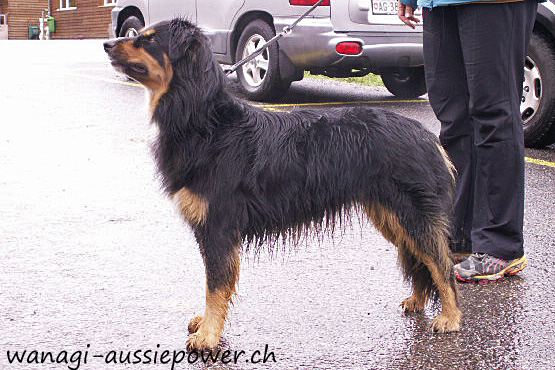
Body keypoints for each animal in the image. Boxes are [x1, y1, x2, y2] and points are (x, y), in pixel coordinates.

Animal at [106, 18, 462, 350]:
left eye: (148, 40)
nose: (107, 43)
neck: (204, 121)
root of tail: (428, 136)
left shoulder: (218, 226)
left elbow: (215, 285)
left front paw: (208, 335)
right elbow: (216, 283)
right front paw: (207, 324)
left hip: (412, 212)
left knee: (440, 262)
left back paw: (451, 318)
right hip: (390, 215)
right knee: (418, 257)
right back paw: (418, 301)